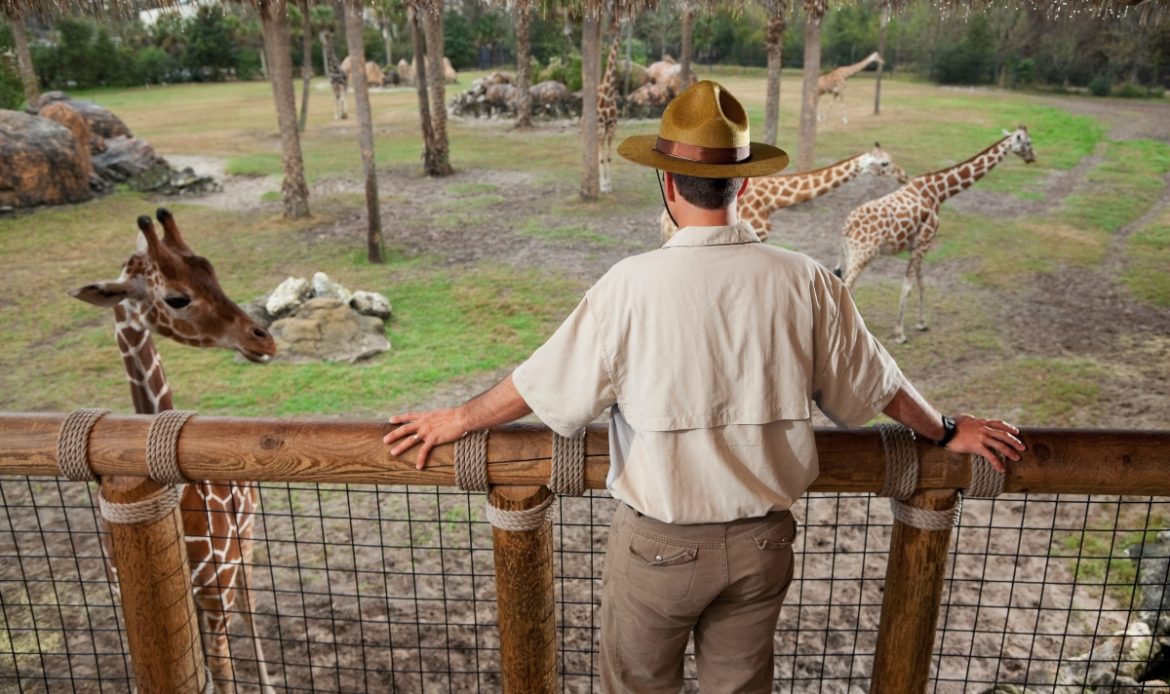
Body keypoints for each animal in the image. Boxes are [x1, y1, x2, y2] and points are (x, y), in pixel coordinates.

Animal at [69, 208, 278, 688]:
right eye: (177, 298)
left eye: (213, 272)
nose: (263, 339)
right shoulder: (132, 595)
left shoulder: (216, 588)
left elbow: (222, 672)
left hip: (245, 544)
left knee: (250, 605)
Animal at [837, 126, 1038, 344]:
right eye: (1028, 142)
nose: (1032, 158)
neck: (939, 192)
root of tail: (846, 226)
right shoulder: (924, 241)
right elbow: (908, 285)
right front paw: (900, 334)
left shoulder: (916, 245)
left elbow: (921, 282)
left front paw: (922, 323)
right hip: (863, 254)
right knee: (846, 284)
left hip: (851, 254)